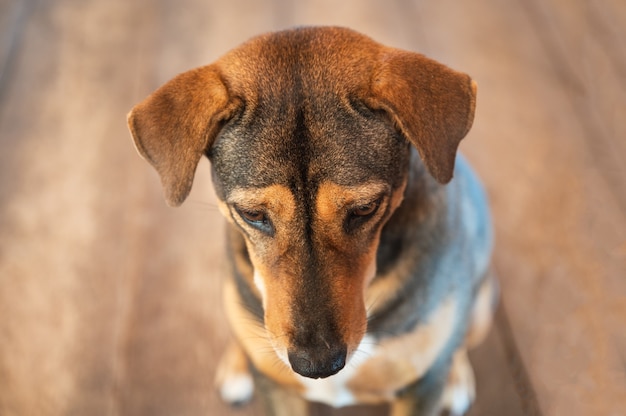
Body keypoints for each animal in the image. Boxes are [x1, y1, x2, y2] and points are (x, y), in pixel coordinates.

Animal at [128, 26, 498, 416]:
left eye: (365, 209)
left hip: (482, 307)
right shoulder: (278, 388)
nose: (317, 365)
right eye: (252, 215)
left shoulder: (421, 387)